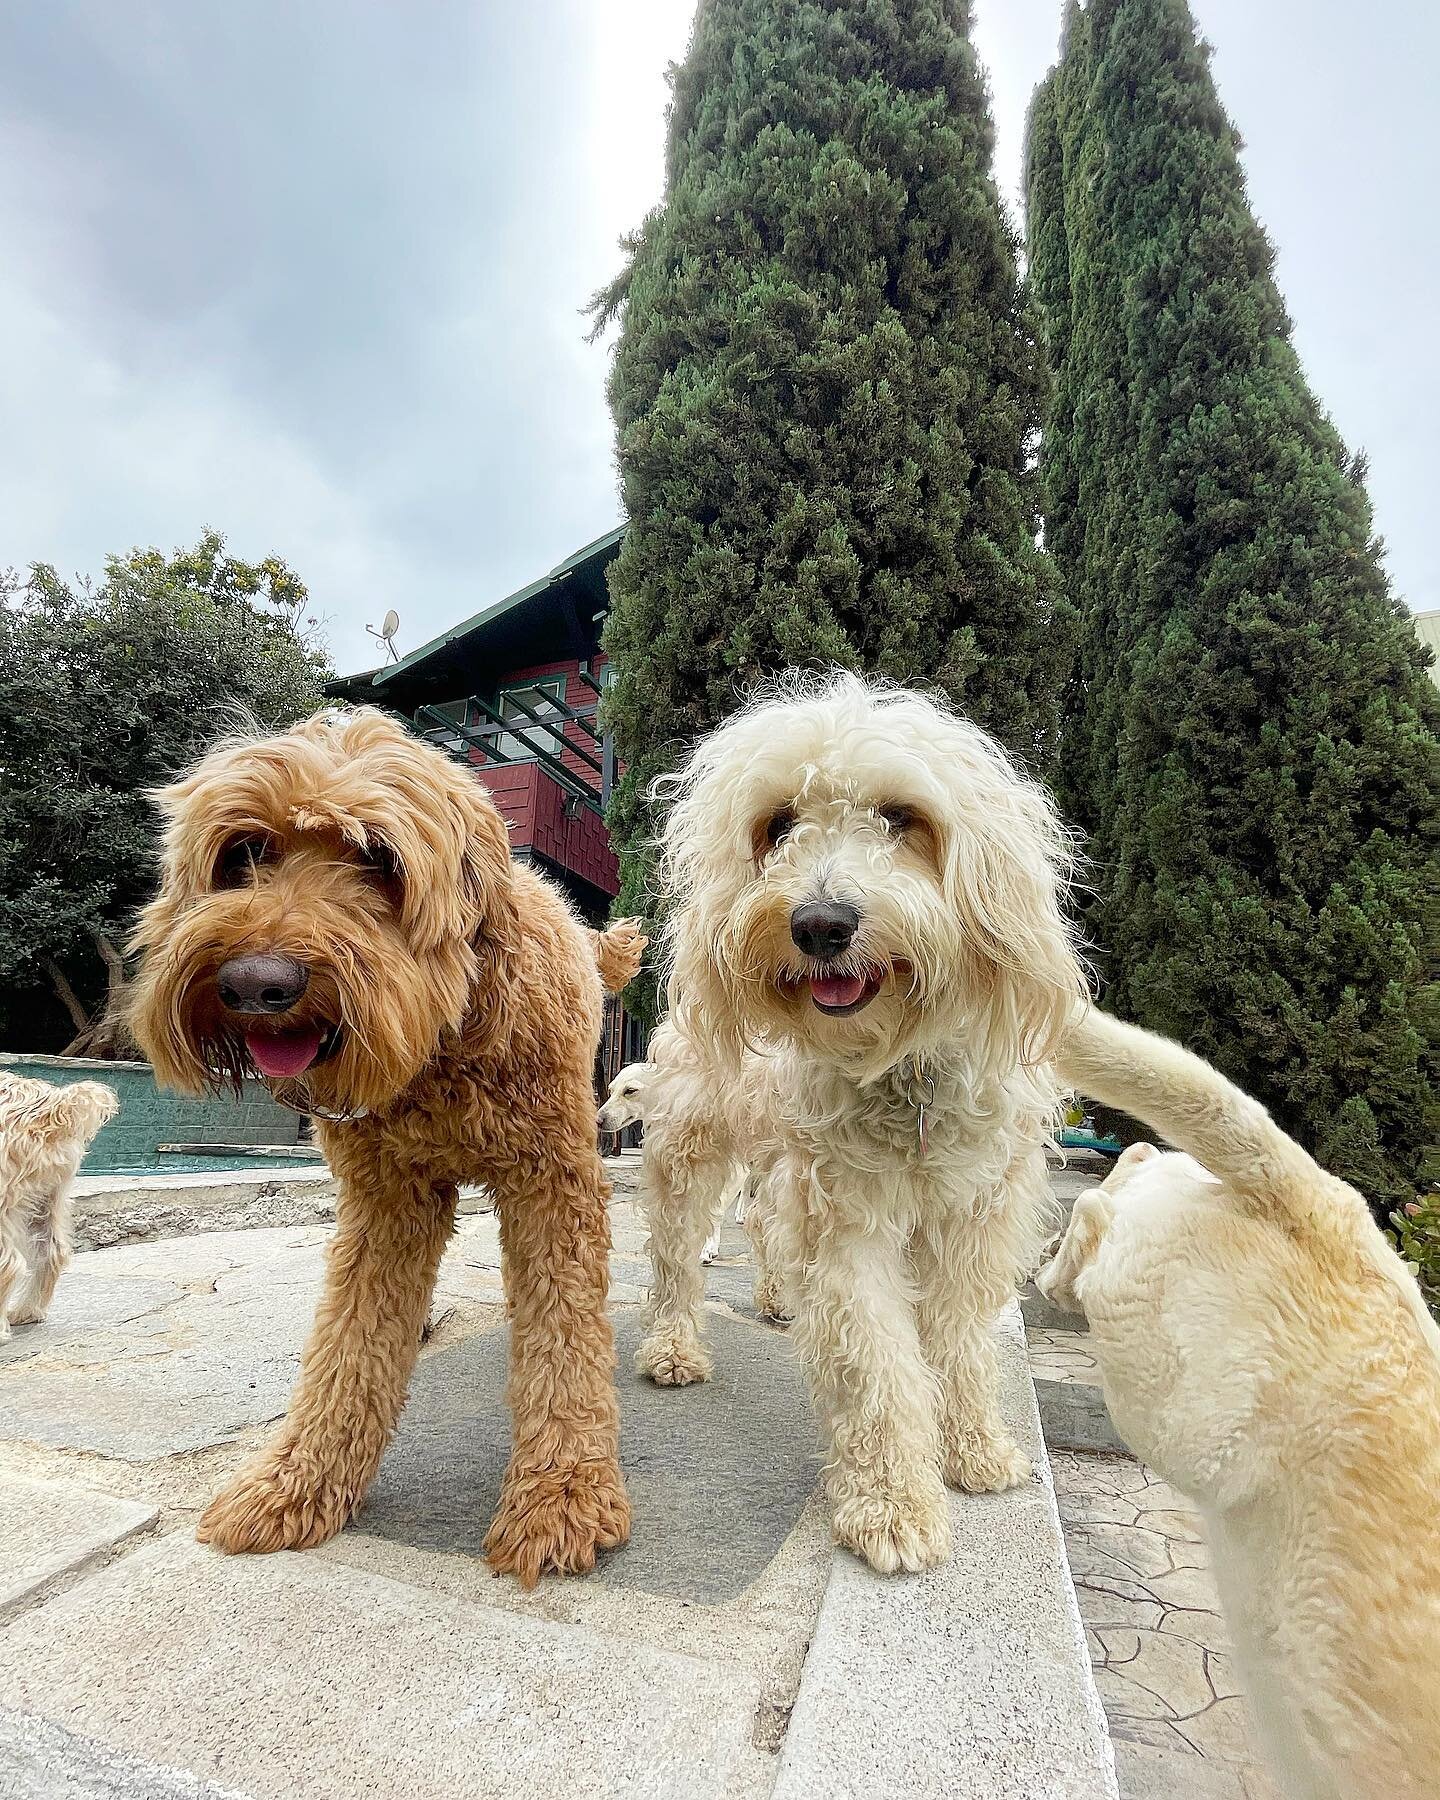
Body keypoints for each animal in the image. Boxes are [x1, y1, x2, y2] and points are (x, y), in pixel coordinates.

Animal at [126, 709, 644, 1584]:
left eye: (380, 859)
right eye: (243, 852)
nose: (255, 985)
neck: (442, 1042)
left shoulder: (553, 1182)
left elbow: (565, 1336)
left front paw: (561, 1496)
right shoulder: (386, 1198)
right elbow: (349, 1346)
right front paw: (297, 1482)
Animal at [648, 676, 1080, 1576]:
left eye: (901, 816)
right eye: (778, 825)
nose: (820, 925)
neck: (903, 1068)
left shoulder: (975, 1214)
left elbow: (959, 1340)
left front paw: (974, 1447)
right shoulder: (849, 1220)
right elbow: (876, 1359)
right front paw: (891, 1504)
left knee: (761, 1224)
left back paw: (777, 1299)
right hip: (691, 1146)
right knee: (675, 1254)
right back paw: (673, 1347)